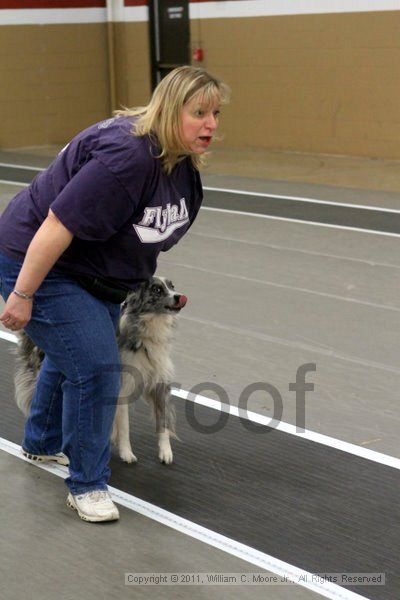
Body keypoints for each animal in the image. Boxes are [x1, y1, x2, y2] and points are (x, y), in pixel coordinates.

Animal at [13, 276, 186, 464]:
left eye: (172, 286)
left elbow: (163, 422)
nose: (179, 296)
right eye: (156, 290)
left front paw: (166, 452)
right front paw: (127, 453)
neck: (149, 329)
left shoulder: (160, 384)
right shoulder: (123, 387)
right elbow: (124, 426)